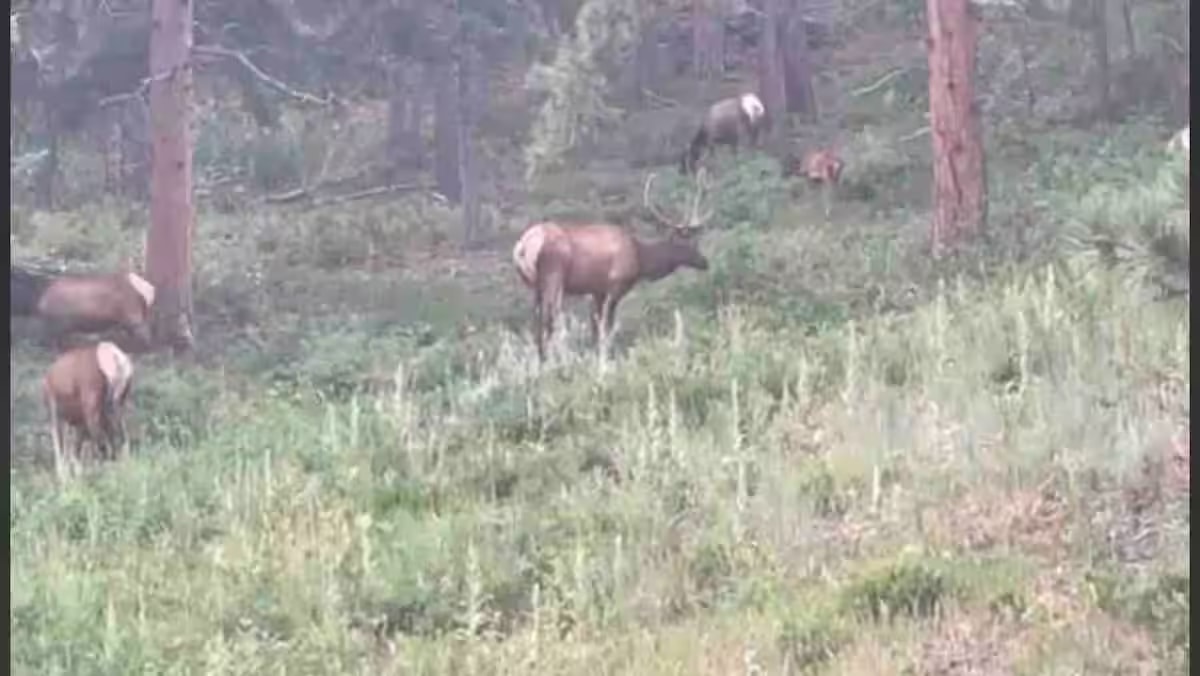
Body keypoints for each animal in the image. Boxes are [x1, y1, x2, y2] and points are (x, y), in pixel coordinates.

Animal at [512, 169, 715, 362]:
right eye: (687, 243)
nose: (705, 262)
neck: (640, 257)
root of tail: (524, 246)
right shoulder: (615, 285)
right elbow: (606, 326)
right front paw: (606, 357)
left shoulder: (596, 291)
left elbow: (595, 327)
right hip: (554, 277)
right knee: (550, 319)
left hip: (535, 284)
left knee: (536, 321)